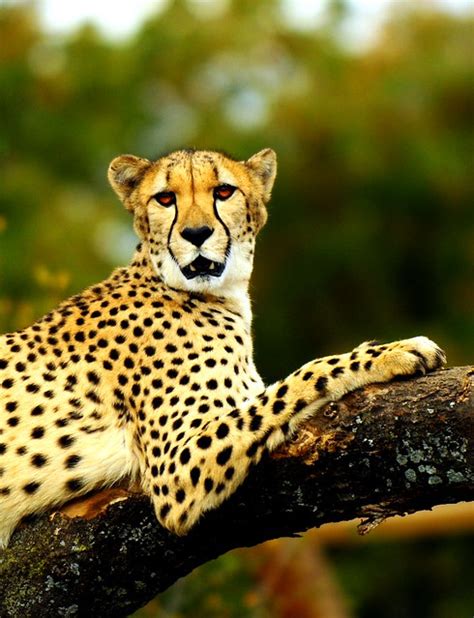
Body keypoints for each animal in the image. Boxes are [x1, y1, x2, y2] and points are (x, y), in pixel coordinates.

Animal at [0, 147, 446, 548]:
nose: (196, 234)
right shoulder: (174, 471)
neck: (212, 293)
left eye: (224, 191)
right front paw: (397, 351)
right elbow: (304, 376)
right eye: (165, 198)